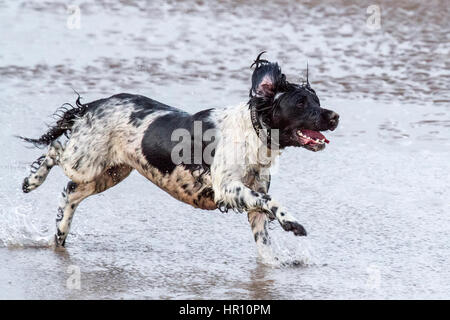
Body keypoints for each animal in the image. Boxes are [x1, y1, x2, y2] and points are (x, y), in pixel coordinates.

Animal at [19, 53, 340, 250]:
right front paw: (293, 222)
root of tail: (94, 105)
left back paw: (60, 232)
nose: (335, 116)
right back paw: (31, 182)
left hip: (110, 173)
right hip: (85, 160)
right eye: (300, 102)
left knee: (70, 193)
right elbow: (271, 202)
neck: (251, 132)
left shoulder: (253, 201)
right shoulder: (227, 187)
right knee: (55, 150)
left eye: (317, 99)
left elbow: (265, 238)